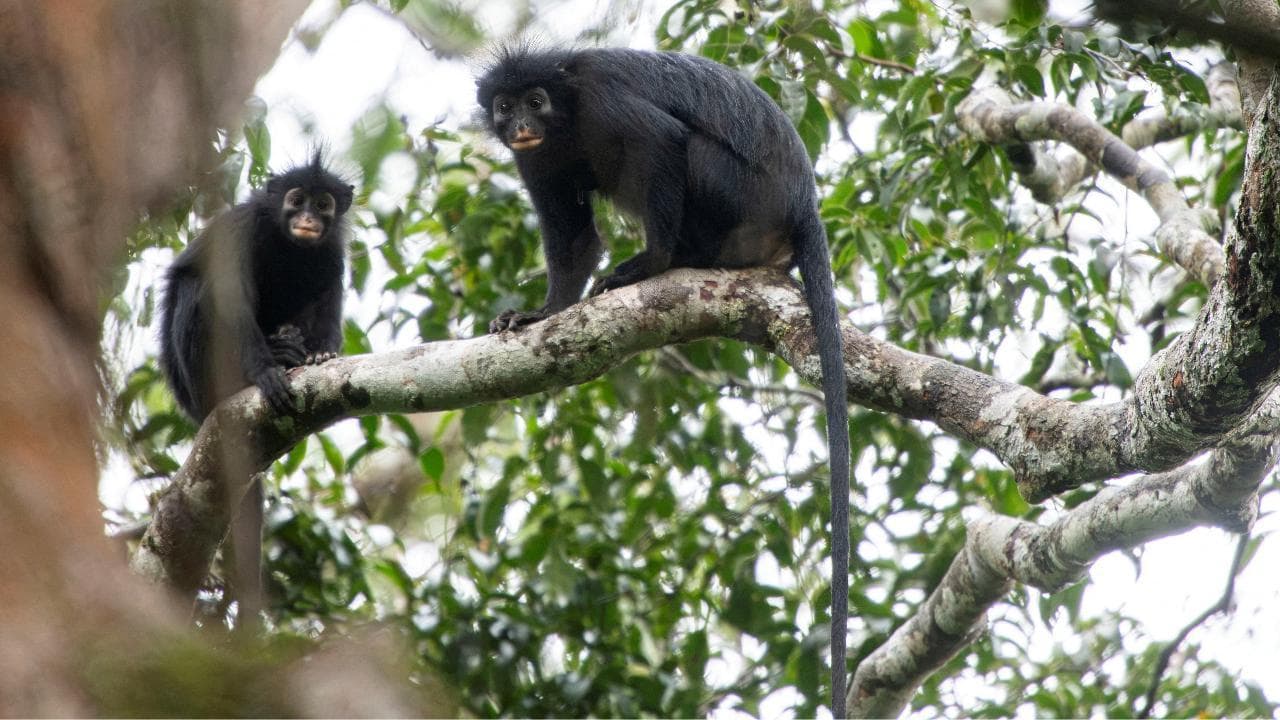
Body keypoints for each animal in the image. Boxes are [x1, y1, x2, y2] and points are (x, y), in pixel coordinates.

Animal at [158, 150, 354, 629]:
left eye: (323, 204)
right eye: (296, 199)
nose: (307, 218)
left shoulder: (331, 249)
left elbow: (329, 289)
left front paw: (321, 355)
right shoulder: (241, 228)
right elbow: (228, 297)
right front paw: (265, 373)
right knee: (198, 286)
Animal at [477, 46, 852, 715]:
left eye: (536, 100)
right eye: (505, 106)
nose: (520, 122)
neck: (566, 120)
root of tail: (802, 201)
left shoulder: (602, 100)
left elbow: (661, 141)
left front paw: (649, 264)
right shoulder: (536, 158)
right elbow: (573, 237)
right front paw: (541, 314)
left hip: (740, 194)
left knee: (688, 149)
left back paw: (675, 260)